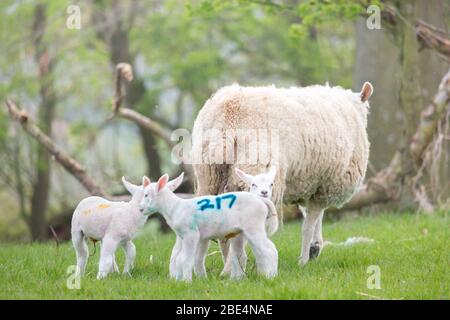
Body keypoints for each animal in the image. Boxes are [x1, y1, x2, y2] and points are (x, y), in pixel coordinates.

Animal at [139, 172, 278, 280]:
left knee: (268, 250)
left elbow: (185, 259)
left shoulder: (191, 234)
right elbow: (183, 258)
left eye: (146, 195)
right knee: (251, 254)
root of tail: (261, 200)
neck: (175, 207)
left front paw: (186, 282)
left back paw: (269, 277)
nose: (140, 209)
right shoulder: (189, 237)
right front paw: (187, 279)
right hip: (243, 232)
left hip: (253, 227)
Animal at [190, 82, 372, 264]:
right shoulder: (325, 185)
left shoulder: (311, 184)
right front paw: (304, 259)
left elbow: (312, 217)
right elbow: (308, 225)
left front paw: (314, 247)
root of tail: (228, 115)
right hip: (257, 173)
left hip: (208, 177)